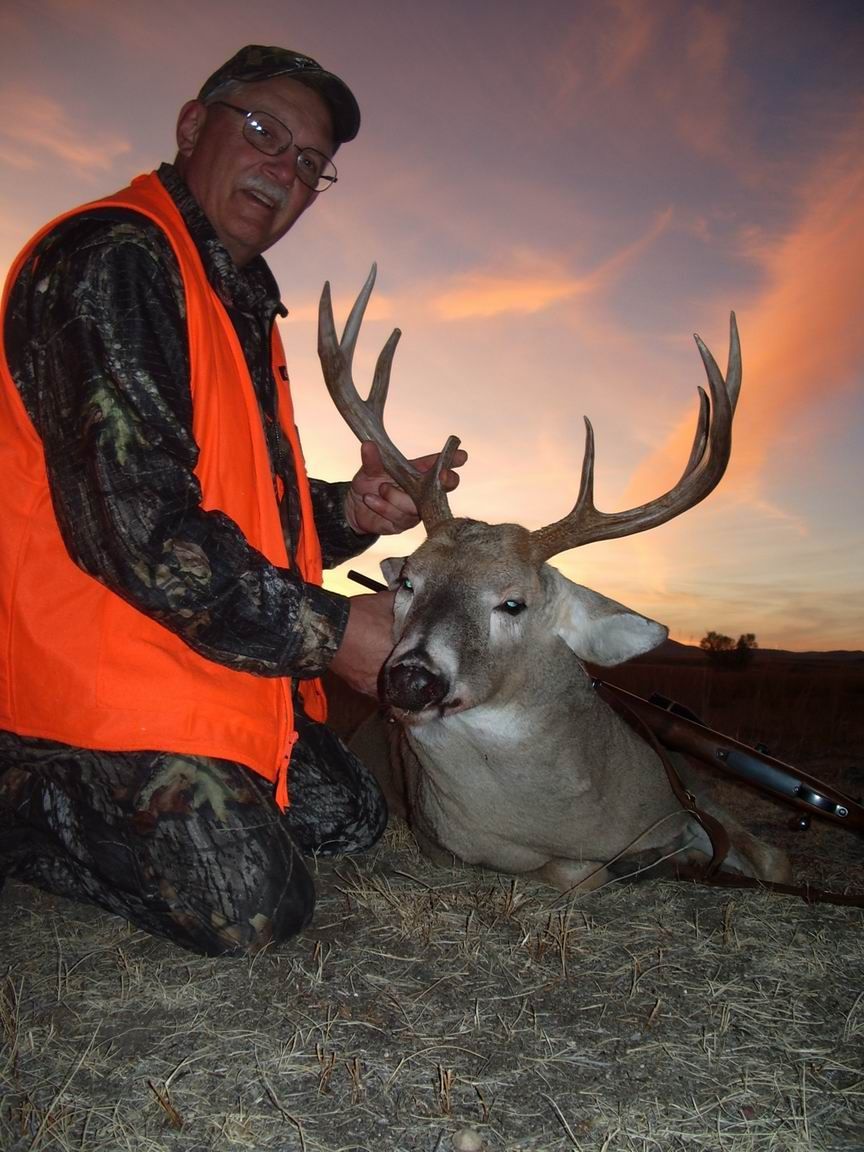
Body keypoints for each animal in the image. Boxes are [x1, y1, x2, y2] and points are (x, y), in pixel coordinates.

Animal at [318, 266, 791, 894]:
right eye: (409, 583)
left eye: (513, 603)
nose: (411, 679)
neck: (573, 818)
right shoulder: (444, 846)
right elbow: (580, 874)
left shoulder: (691, 798)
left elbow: (772, 860)